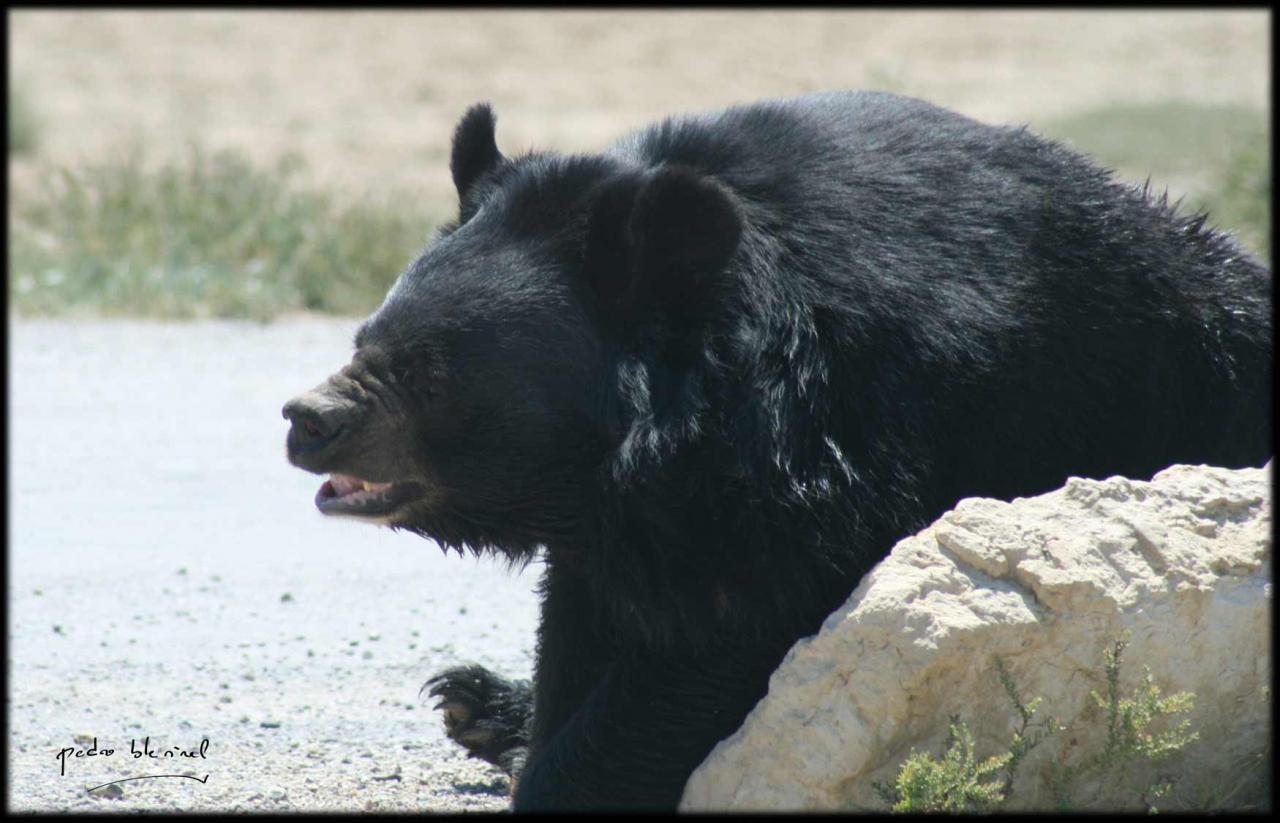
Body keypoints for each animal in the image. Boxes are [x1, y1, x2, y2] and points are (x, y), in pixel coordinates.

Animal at [280, 90, 1269, 808]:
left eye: (428, 368)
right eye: (367, 333)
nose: (306, 419)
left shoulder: (846, 445)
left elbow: (723, 630)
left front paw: (565, 775)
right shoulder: (619, 519)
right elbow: (583, 624)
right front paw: (532, 722)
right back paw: (477, 701)